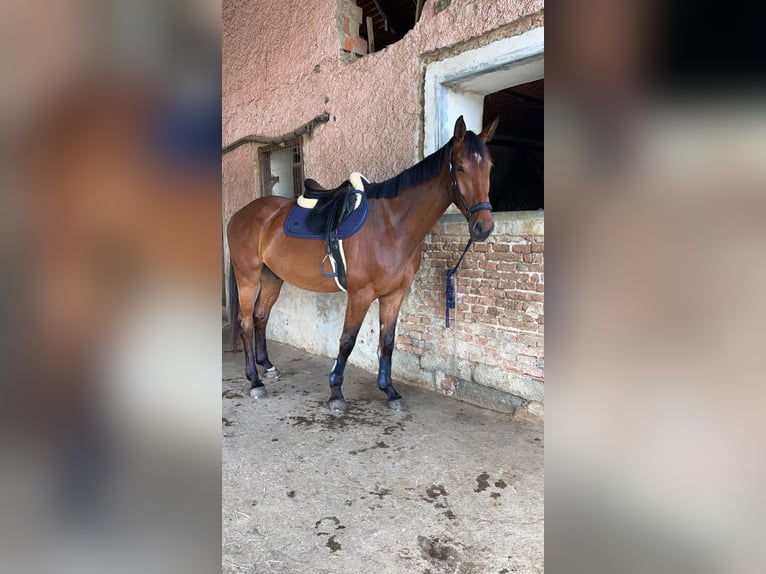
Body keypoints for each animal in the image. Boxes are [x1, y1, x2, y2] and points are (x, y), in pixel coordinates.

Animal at [226, 116, 504, 414]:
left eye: (489, 167)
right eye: (461, 167)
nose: (484, 226)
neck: (391, 226)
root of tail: (240, 215)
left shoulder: (394, 295)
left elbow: (387, 342)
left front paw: (390, 391)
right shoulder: (360, 295)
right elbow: (347, 341)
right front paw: (336, 392)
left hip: (272, 277)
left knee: (260, 316)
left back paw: (267, 367)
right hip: (247, 277)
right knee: (245, 322)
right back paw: (255, 381)